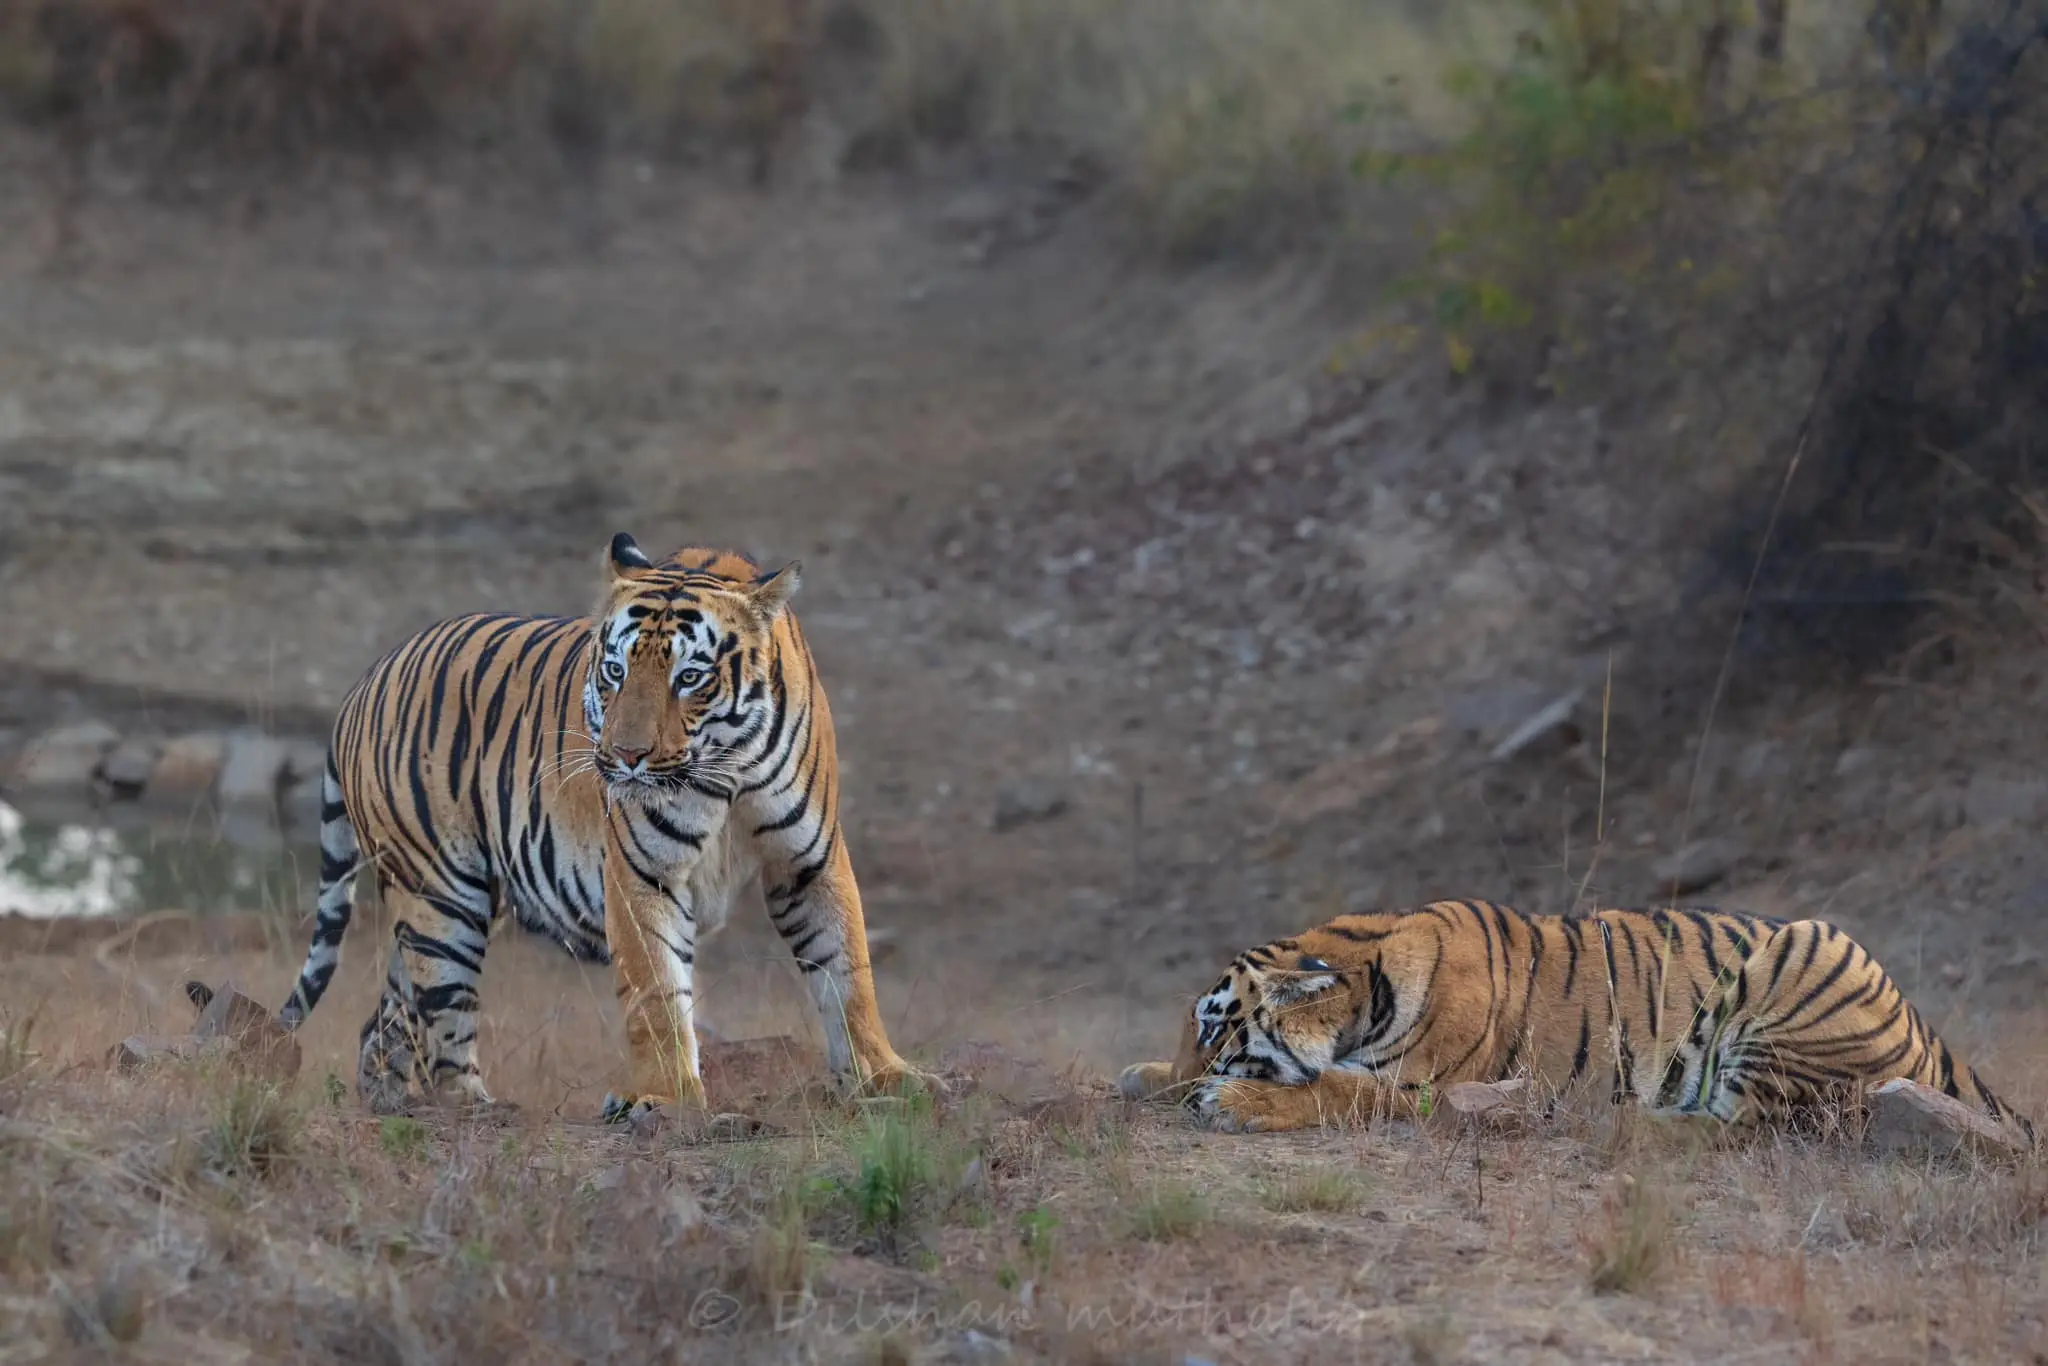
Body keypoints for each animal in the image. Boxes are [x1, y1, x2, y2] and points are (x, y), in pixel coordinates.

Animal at [276, 528, 917, 1114]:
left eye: (690, 677)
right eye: (614, 670)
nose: (626, 755)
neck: (727, 770)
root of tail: (365, 681)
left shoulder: (810, 861)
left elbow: (848, 971)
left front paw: (886, 1077)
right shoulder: (642, 871)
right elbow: (658, 991)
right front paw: (668, 1098)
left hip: (436, 907)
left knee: (385, 1021)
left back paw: (389, 1104)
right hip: (441, 896)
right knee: (443, 1027)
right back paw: (474, 1109)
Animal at [1122, 897, 2031, 1146]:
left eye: (1215, 1029)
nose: (1189, 1073)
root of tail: (1923, 1023)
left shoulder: (1430, 1087)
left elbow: (1338, 1093)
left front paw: (1228, 1101)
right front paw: (1145, 1076)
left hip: (1799, 966)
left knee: (1750, 1125)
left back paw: (1618, 1120)